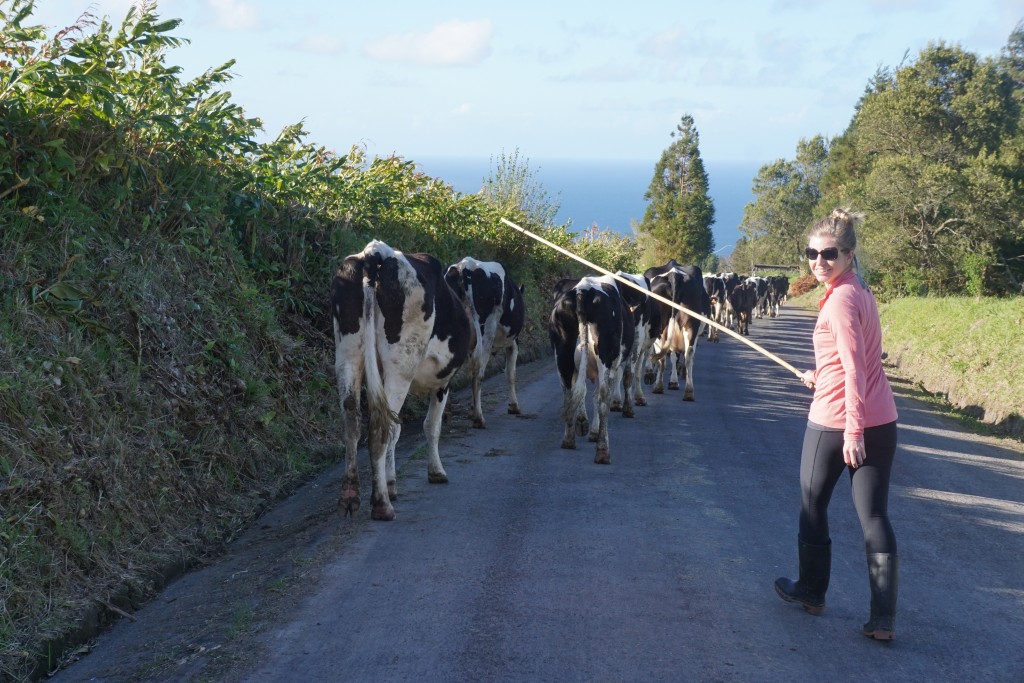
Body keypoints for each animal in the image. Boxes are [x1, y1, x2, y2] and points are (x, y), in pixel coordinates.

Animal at [331, 237, 475, 520]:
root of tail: (376, 252)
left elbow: (397, 429)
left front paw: (391, 483)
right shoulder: (442, 383)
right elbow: (431, 426)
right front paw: (436, 472)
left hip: (347, 356)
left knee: (353, 423)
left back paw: (350, 498)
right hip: (401, 366)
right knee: (378, 428)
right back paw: (382, 505)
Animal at [442, 255, 524, 428]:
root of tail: (464, 266)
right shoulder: (513, 342)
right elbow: (510, 373)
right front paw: (514, 406)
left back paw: (446, 414)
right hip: (486, 332)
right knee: (478, 373)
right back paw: (479, 418)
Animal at [552, 276, 630, 464]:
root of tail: (583, 289)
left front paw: (584, 423)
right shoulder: (614, 366)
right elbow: (597, 396)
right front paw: (594, 431)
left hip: (562, 353)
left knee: (569, 392)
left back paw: (569, 439)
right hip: (605, 354)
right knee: (603, 397)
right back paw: (602, 451)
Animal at [643, 260, 708, 401]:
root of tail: (674, 275)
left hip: (662, 327)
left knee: (662, 356)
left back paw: (658, 386)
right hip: (690, 325)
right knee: (688, 355)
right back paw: (688, 392)